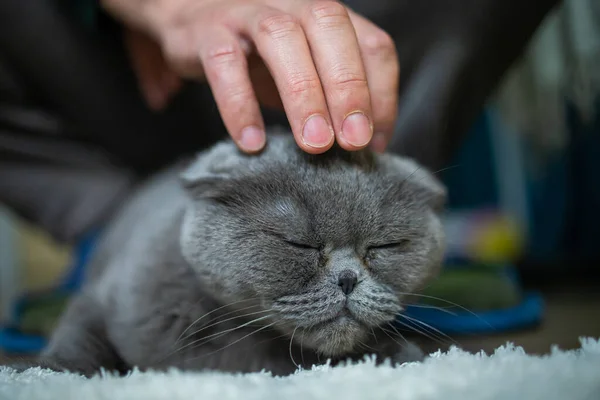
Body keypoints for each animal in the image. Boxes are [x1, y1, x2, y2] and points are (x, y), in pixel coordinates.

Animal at [12, 132, 446, 378]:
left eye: (384, 246)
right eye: (298, 244)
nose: (347, 279)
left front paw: (400, 355)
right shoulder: (106, 297)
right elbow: (79, 332)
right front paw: (48, 373)